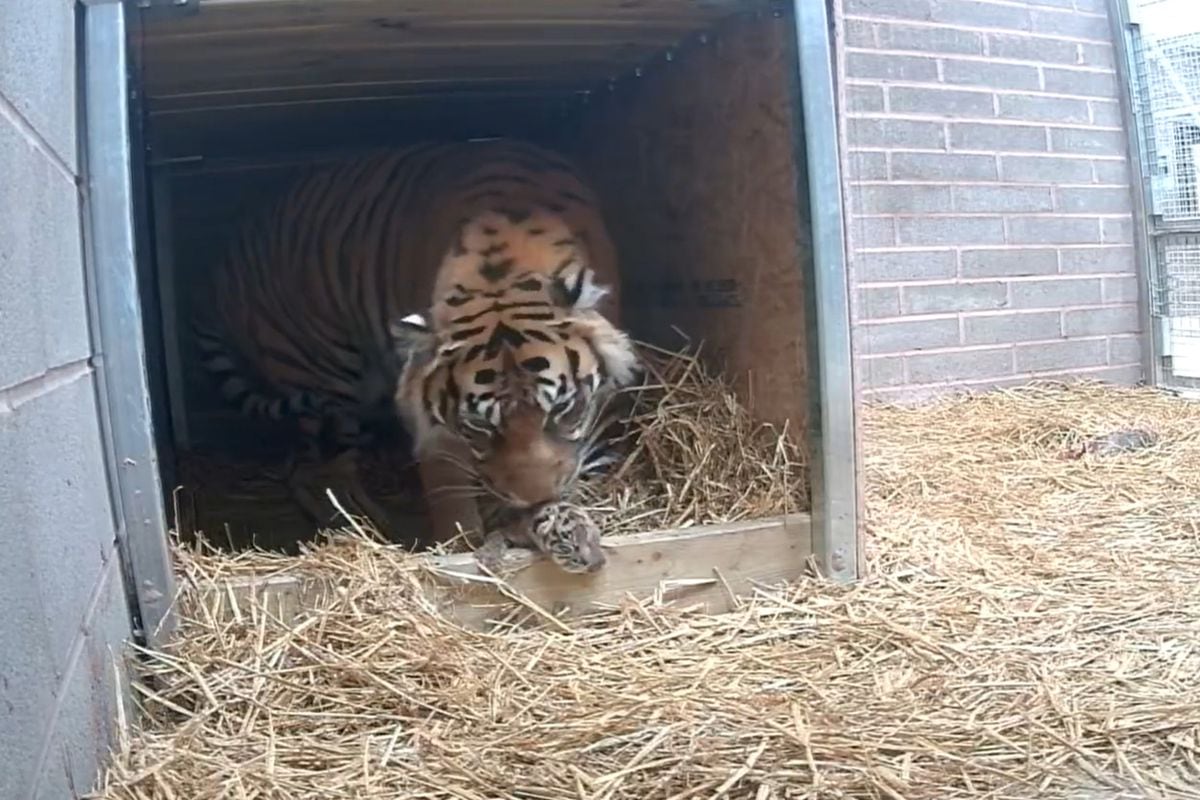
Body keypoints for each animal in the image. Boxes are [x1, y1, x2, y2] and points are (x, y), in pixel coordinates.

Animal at [193, 140, 643, 546]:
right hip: (325, 380)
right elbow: (448, 484)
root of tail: (217, 273)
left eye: (563, 409)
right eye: (480, 425)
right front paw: (460, 544)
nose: (536, 500)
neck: (504, 269)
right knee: (322, 473)